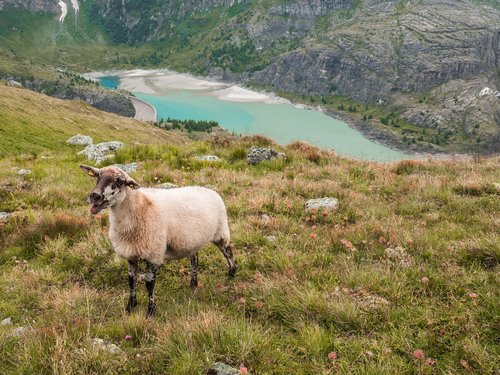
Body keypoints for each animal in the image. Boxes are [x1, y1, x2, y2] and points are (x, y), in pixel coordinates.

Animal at [80, 166, 238, 316]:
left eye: (120, 181)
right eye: (97, 176)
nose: (94, 196)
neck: (137, 207)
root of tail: (209, 190)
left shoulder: (153, 253)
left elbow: (150, 284)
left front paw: (150, 311)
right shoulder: (131, 253)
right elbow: (131, 281)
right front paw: (130, 308)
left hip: (220, 232)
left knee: (228, 252)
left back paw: (232, 273)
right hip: (191, 240)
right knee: (195, 260)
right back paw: (193, 285)